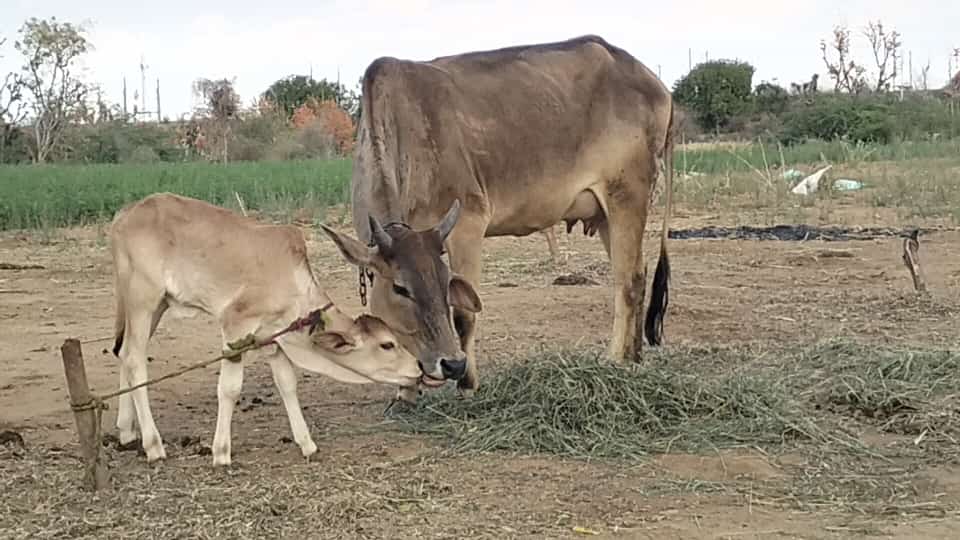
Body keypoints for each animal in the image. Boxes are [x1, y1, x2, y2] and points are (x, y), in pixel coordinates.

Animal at [109, 192, 423, 466]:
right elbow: (229, 389)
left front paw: (307, 443)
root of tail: (128, 212)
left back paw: (127, 432)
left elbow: (287, 384)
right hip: (143, 299)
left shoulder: (273, 338)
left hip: (156, 306)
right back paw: (153, 445)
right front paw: (221, 452)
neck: (295, 285)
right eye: (387, 344)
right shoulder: (235, 326)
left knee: (124, 353)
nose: (418, 366)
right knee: (135, 359)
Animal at [321, 35, 674, 402]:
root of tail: (656, 84)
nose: (449, 364)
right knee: (635, 275)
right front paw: (406, 391)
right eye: (400, 288)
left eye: (444, 283)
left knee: (628, 281)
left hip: (627, 196)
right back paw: (633, 357)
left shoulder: (468, 223)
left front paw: (468, 384)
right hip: (604, 213)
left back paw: (615, 360)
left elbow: (464, 314)